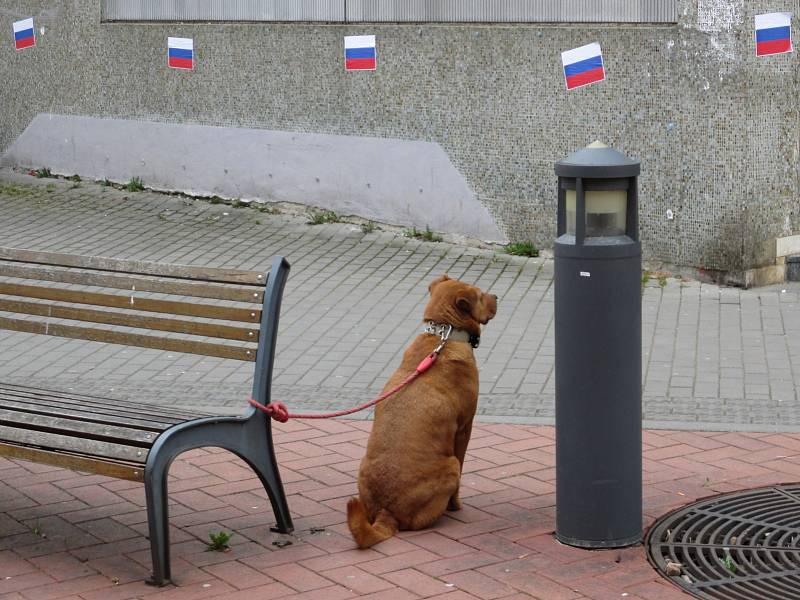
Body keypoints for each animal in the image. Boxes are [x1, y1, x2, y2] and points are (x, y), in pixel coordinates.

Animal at [346, 274, 496, 548]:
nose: (497, 297)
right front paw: (456, 505)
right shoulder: (464, 427)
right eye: (481, 294)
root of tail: (386, 511)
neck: (444, 336)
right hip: (450, 464)